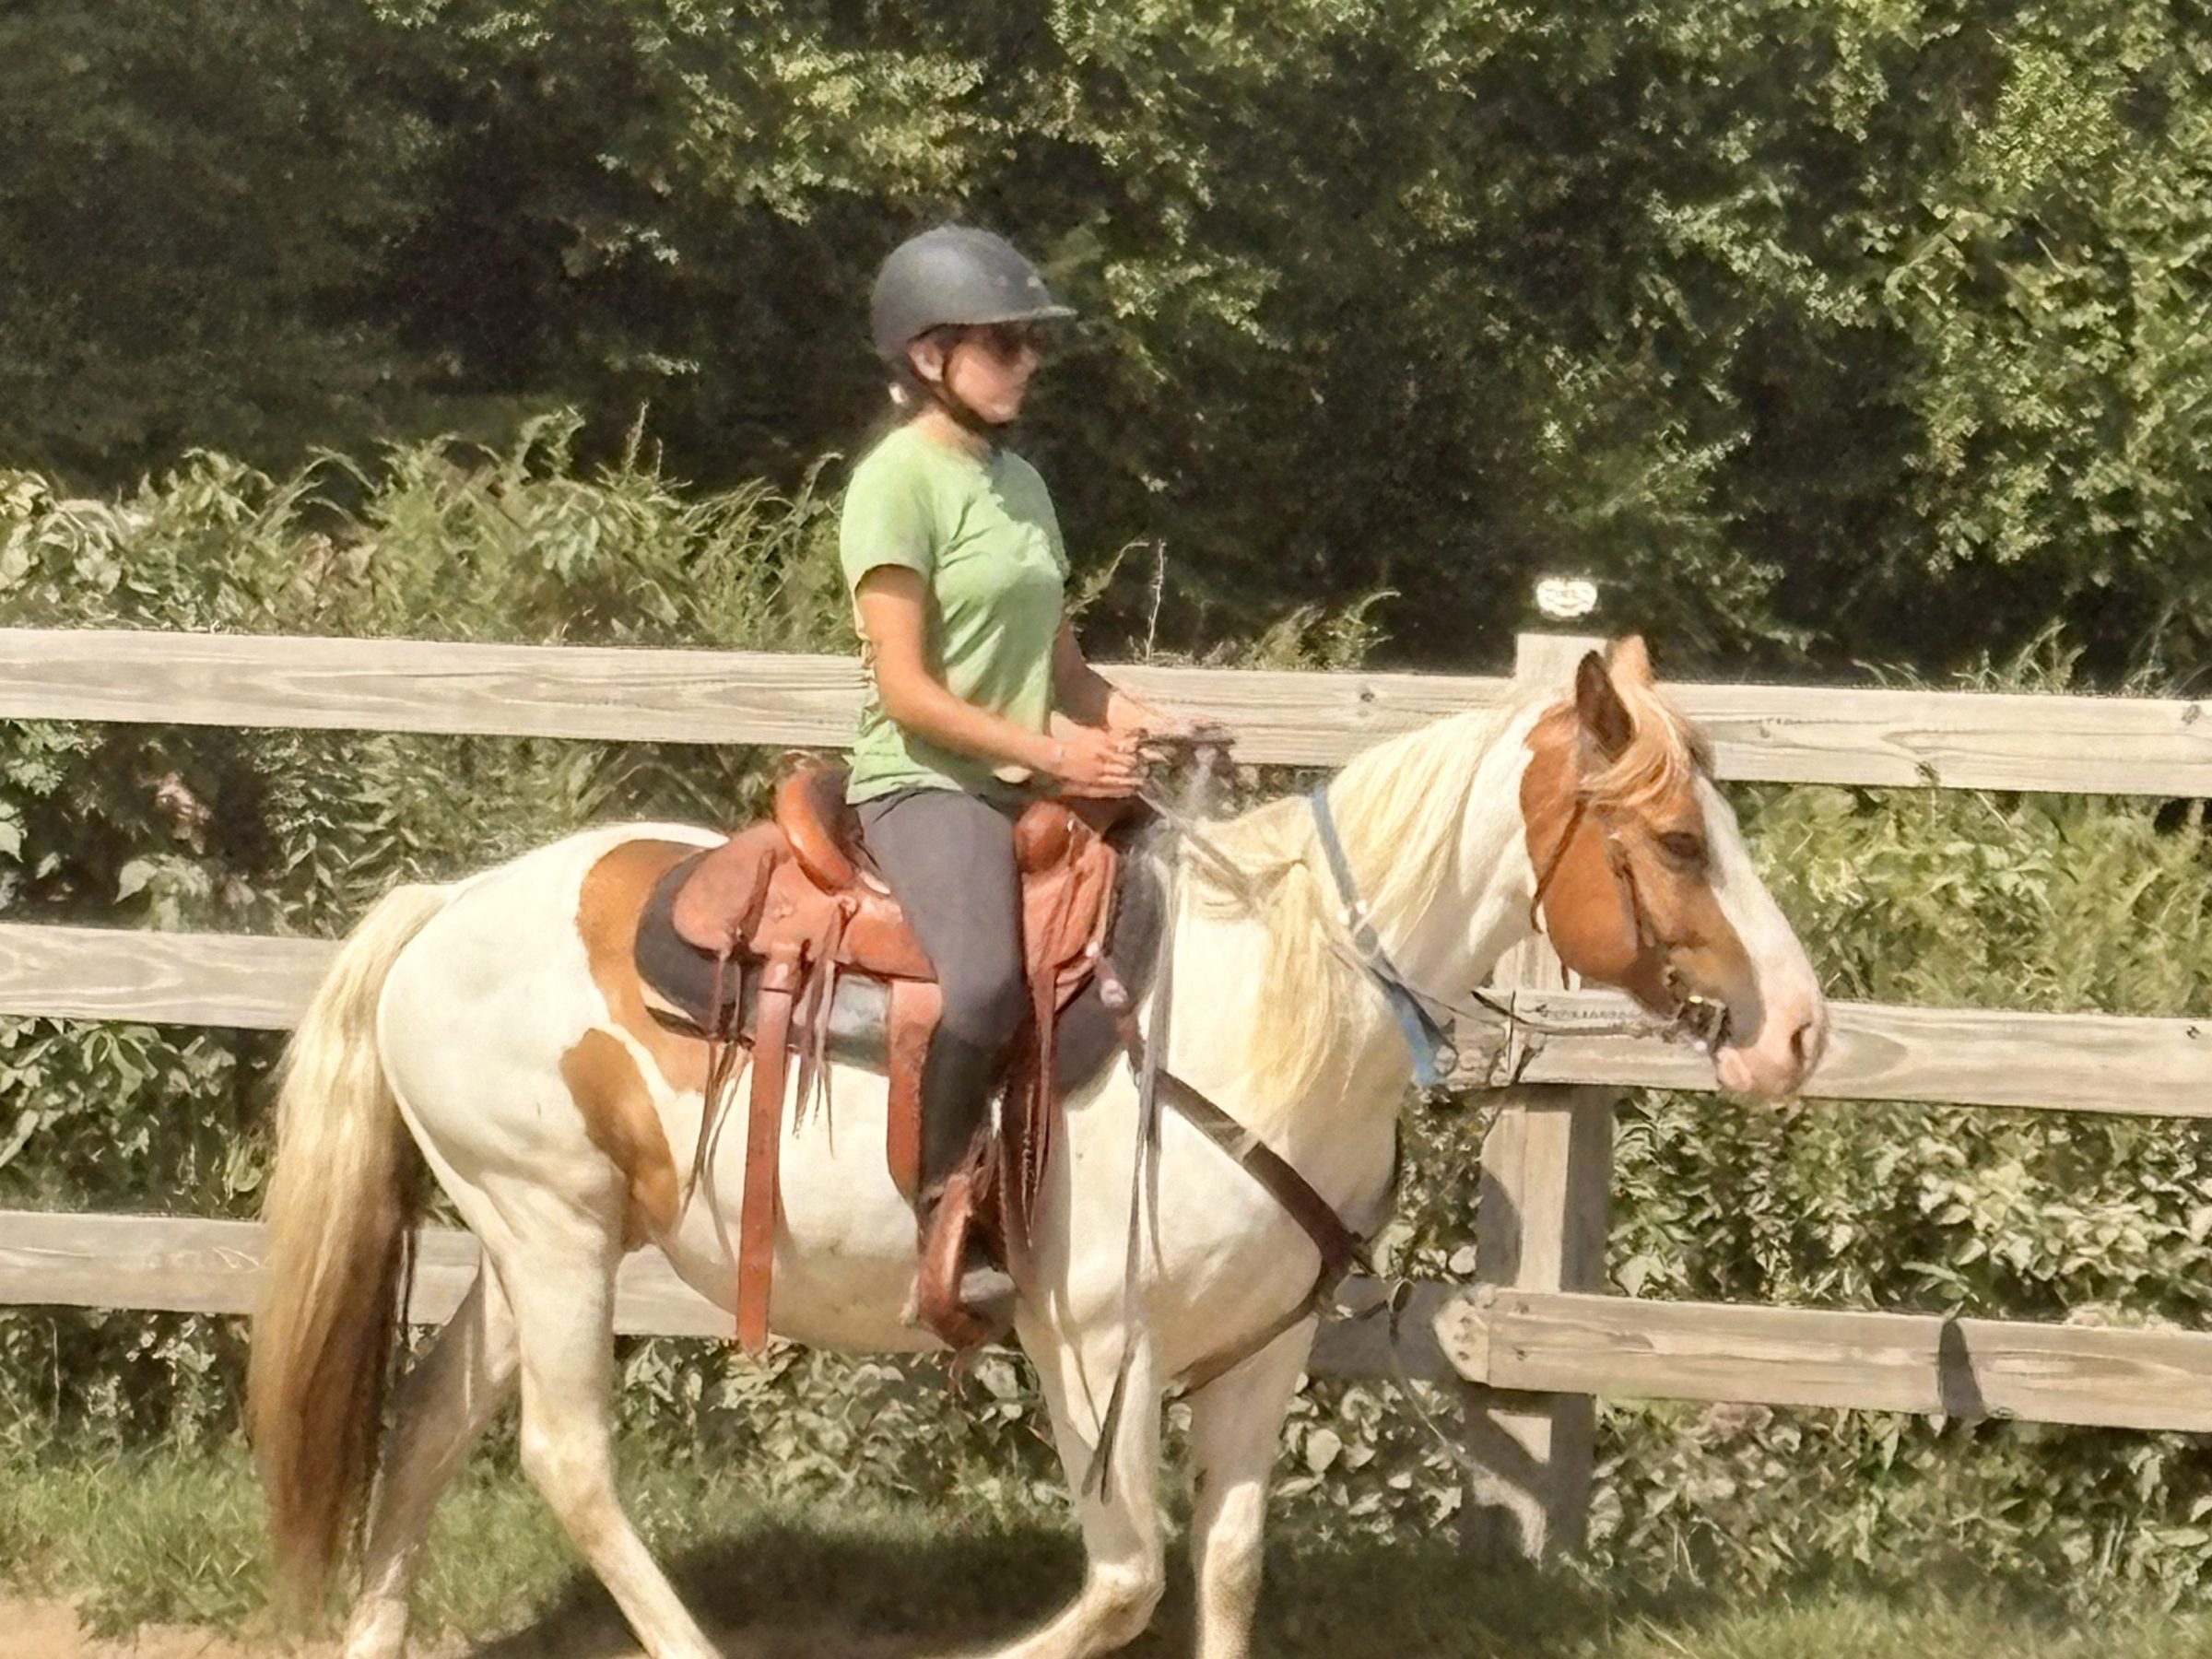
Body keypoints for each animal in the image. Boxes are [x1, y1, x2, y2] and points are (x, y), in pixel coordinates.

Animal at [247, 636, 1827, 1659]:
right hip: (554, 1233)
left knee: (431, 1424)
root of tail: (443, 907)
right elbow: (1126, 1581)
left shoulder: (1261, 1356)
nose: (1801, 1031)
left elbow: (1225, 1570)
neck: (1265, 1007)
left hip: (533, 1242)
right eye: (1678, 841)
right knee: (568, 1462)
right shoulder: (1088, 1343)